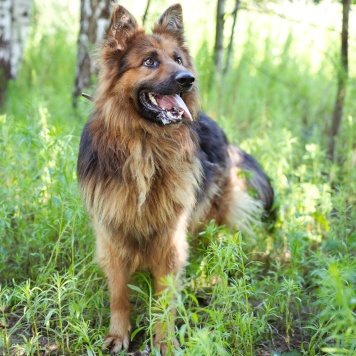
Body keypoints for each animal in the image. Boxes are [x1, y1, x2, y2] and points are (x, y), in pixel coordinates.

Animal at [77, 3, 272, 356]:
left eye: (178, 59)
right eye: (149, 61)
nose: (188, 80)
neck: (145, 147)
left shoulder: (169, 240)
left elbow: (165, 299)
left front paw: (165, 341)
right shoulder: (112, 237)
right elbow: (119, 294)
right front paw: (118, 334)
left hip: (215, 215)